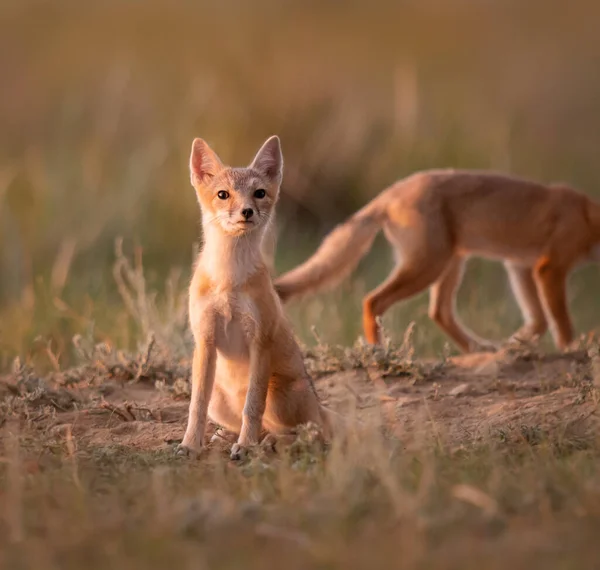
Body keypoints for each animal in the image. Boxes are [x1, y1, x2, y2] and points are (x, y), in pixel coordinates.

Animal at [274, 170, 600, 350]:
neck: (587, 215)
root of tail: (392, 191)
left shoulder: (519, 265)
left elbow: (538, 320)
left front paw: (515, 345)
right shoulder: (550, 268)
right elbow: (560, 322)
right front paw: (571, 349)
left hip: (450, 264)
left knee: (439, 312)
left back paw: (478, 349)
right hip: (429, 266)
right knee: (373, 301)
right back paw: (379, 352)